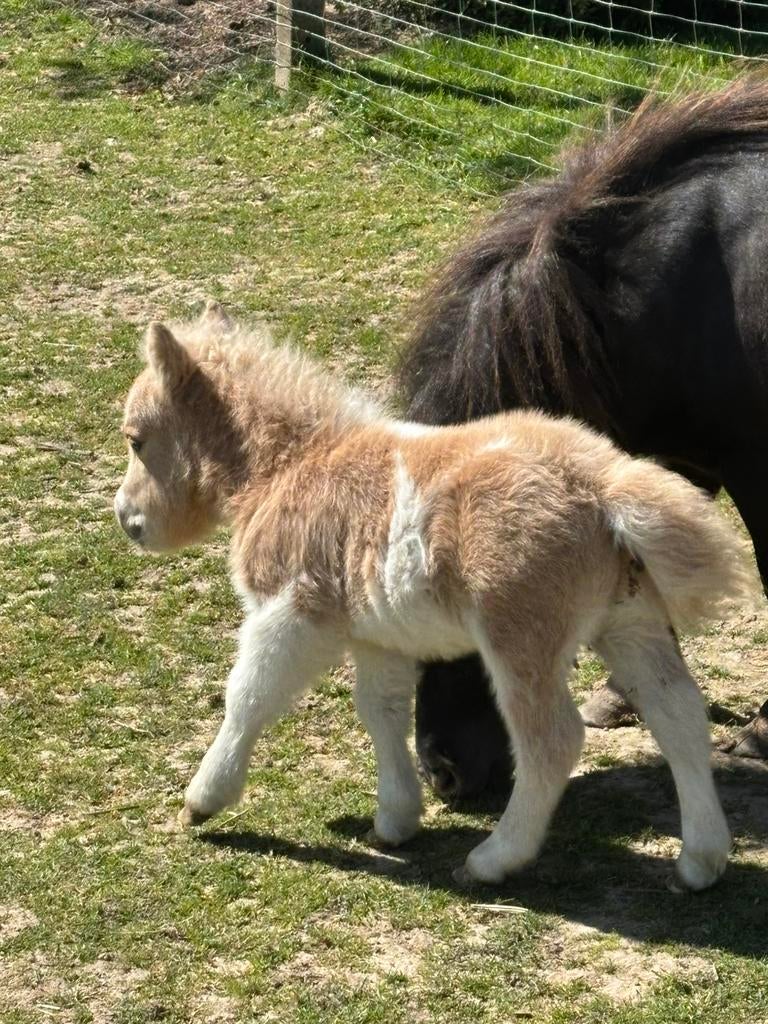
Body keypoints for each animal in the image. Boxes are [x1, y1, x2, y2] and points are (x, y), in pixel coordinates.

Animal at [114, 304, 753, 889]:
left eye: (138, 441)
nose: (126, 520)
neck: (288, 464)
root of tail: (604, 486)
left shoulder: (290, 609)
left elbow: (248, 696)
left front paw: (204, 799)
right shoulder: (376, 636)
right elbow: (381, 710)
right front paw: (396, 819)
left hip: (521, 639)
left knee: (552, 740)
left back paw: (495, 859)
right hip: (630, 622)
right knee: (678, 714)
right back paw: (700, 862)